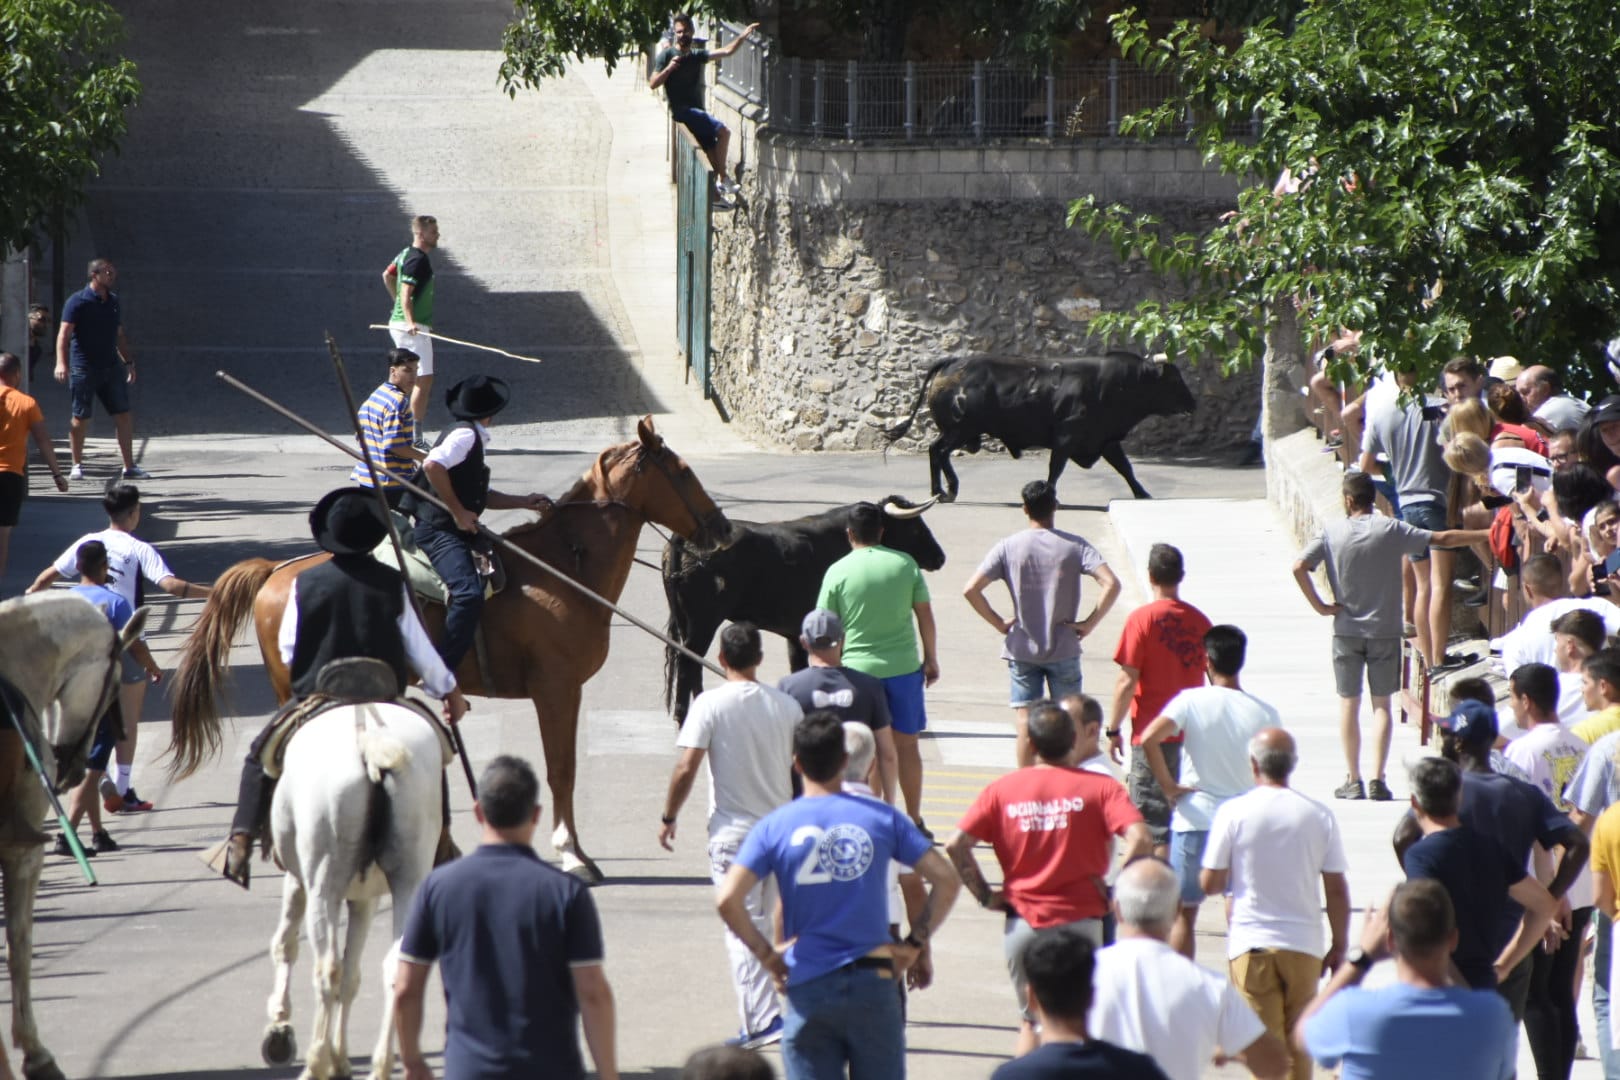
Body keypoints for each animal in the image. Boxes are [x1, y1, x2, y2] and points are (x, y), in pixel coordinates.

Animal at [170, 417, 722, 880]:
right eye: (683, 470)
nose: (719, 526)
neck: (564, 567)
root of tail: (275, 572)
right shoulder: (557, 689)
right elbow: (561, 771)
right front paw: (572, 854)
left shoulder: (562, 691)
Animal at [260, 702, 450, 1080]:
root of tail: (371, 745)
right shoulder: (366, 898)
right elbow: (352, 975)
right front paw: (342, 1057)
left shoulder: (298, 879)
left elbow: (286, 944)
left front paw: (281, 1029)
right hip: (409, 878)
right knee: (395, 966)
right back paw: (380, 1065)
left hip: (324, 885)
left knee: (327, 968)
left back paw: (316, 1063)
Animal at [660, 498, 946, 725]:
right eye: (915, 527)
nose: (940, 557)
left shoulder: (794, 632)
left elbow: (797, 667)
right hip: (703, 622)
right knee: (688, 662)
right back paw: (683, 716)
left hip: (685, 621)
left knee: (690, 661)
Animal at [881, 354, 1198, 508]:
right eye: (1173, 381)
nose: (1193, 403)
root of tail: (954, 362)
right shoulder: (1067, 438)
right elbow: (1055, 469)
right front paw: (1051, 496)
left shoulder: (1106, 440)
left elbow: (1126, 468)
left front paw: (1143, 494)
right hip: (959, 430)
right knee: (938, 450)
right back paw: (944, 491)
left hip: (960, 431)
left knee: (938, 451)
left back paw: (945, 490)